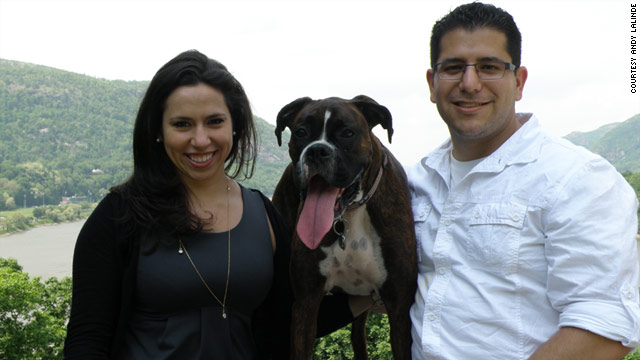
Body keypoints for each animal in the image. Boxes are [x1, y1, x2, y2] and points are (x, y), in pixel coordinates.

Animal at [272, 94, 418, 358]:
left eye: (347, 133)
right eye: (300, 132)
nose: (317, 151)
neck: (349, 213)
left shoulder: (400, 306)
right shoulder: (306, 302)